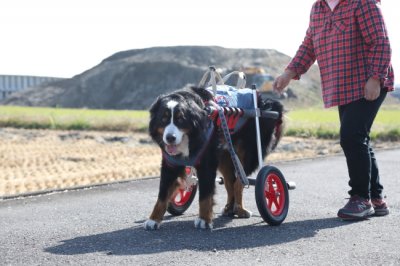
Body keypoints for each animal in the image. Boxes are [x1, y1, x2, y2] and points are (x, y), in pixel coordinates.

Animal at [145, 86, 282, 230]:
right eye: (163, 119)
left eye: (180, 119)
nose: (170, 138)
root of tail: (263, 102)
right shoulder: (170, 165)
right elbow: (162, 194)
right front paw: (153, 220)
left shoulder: (207, 164)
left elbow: (205, 195)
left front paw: (204, 220)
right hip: (225, 157)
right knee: (230, 182)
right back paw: (230, 209)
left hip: (247, 154)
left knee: (240, 182)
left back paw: (241, 210)